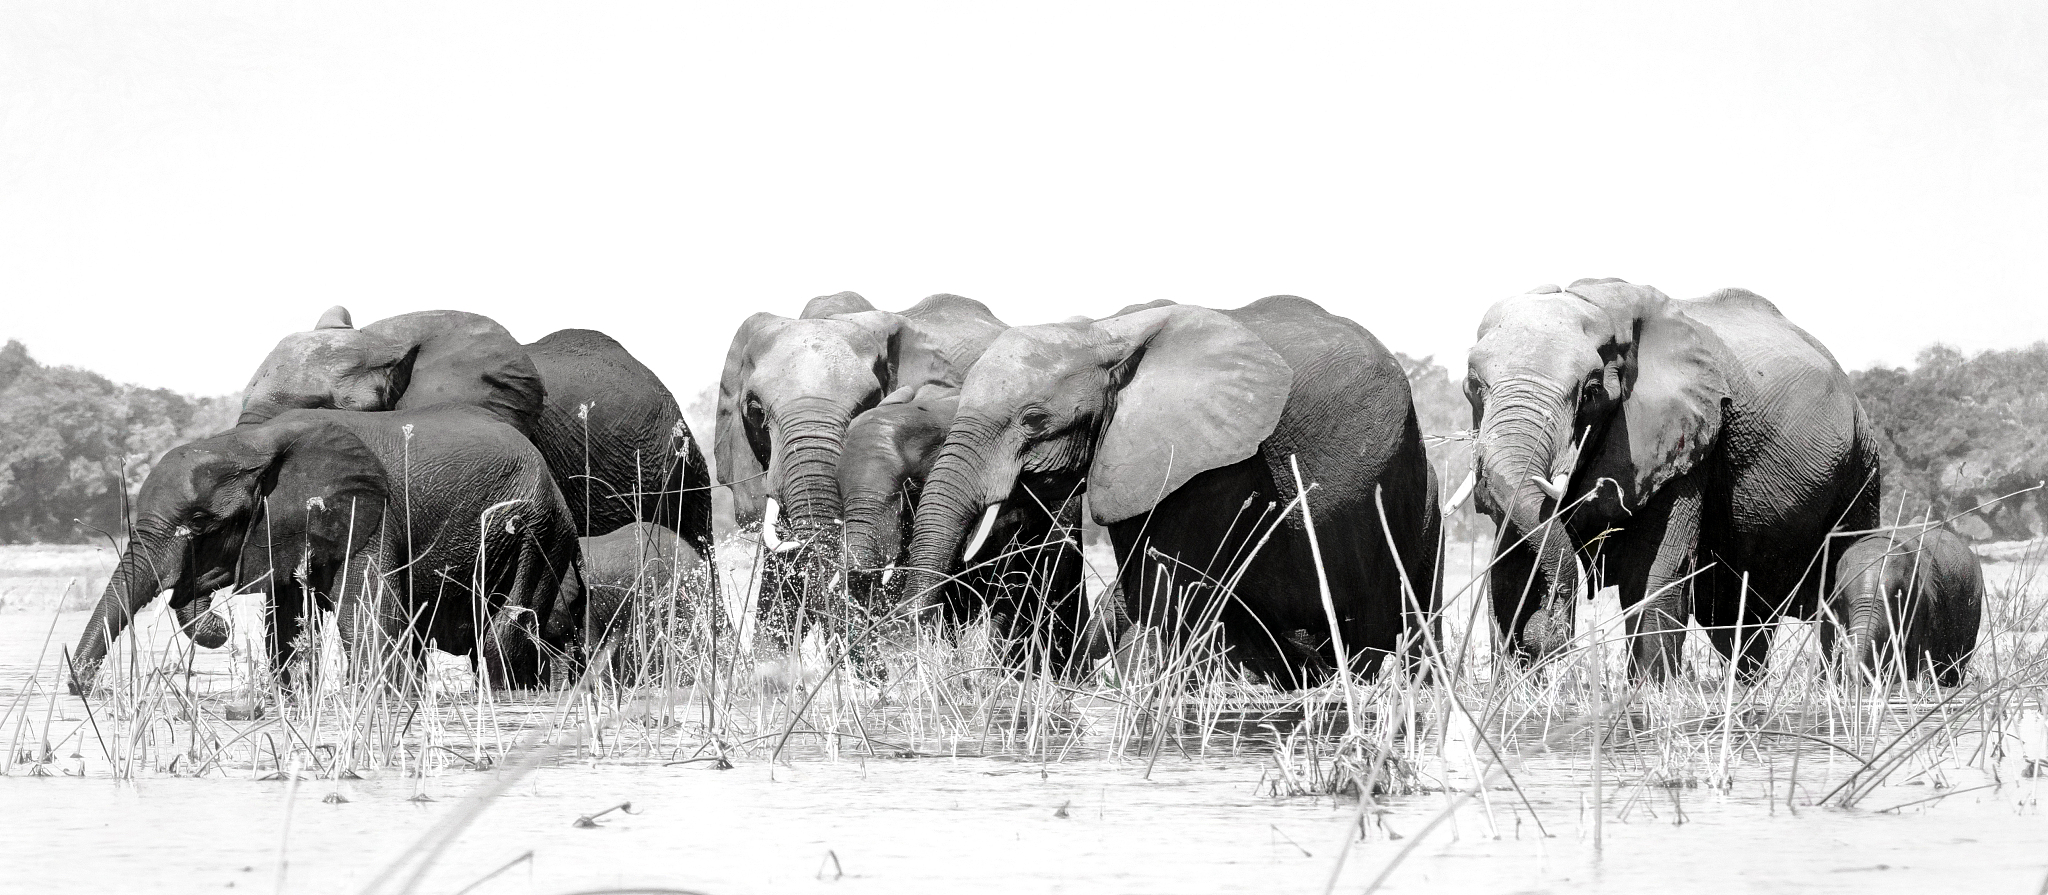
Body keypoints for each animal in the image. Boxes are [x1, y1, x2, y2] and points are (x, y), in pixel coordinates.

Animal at [68, 405, 580, 694]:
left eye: (200, 523)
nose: (80, 688)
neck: (253, 444)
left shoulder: (369, 518)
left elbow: (366, 624)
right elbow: (287, 630)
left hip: (539, 531)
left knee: (501, 638)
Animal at [901, 296, 1442, 686]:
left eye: (1033, 419)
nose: (915, 653)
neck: (1102, 334)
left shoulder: (1216, 464)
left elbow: (1166, 591)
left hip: (1417, 500)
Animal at [1466, 279, 1883, 681]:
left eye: (1591, 392)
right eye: (1472, 386)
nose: (1552, 625)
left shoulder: (1688, 444)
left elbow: (1650, 574)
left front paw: (1647, 693)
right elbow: (1509, 574)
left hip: (1860, 470)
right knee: (1741, 622)